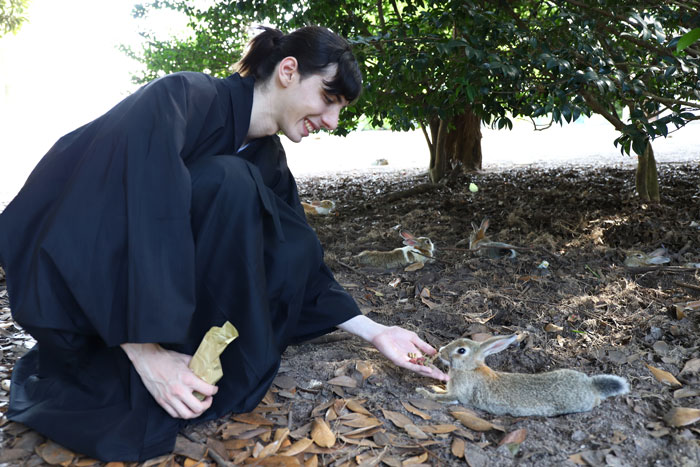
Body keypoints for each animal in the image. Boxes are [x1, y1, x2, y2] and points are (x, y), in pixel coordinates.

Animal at [416, 334, 629, 417]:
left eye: (461, 351)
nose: (441, 351)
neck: (470, 368)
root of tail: (590, 386)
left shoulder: (459, 394)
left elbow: (445, 398)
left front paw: (424, 392)